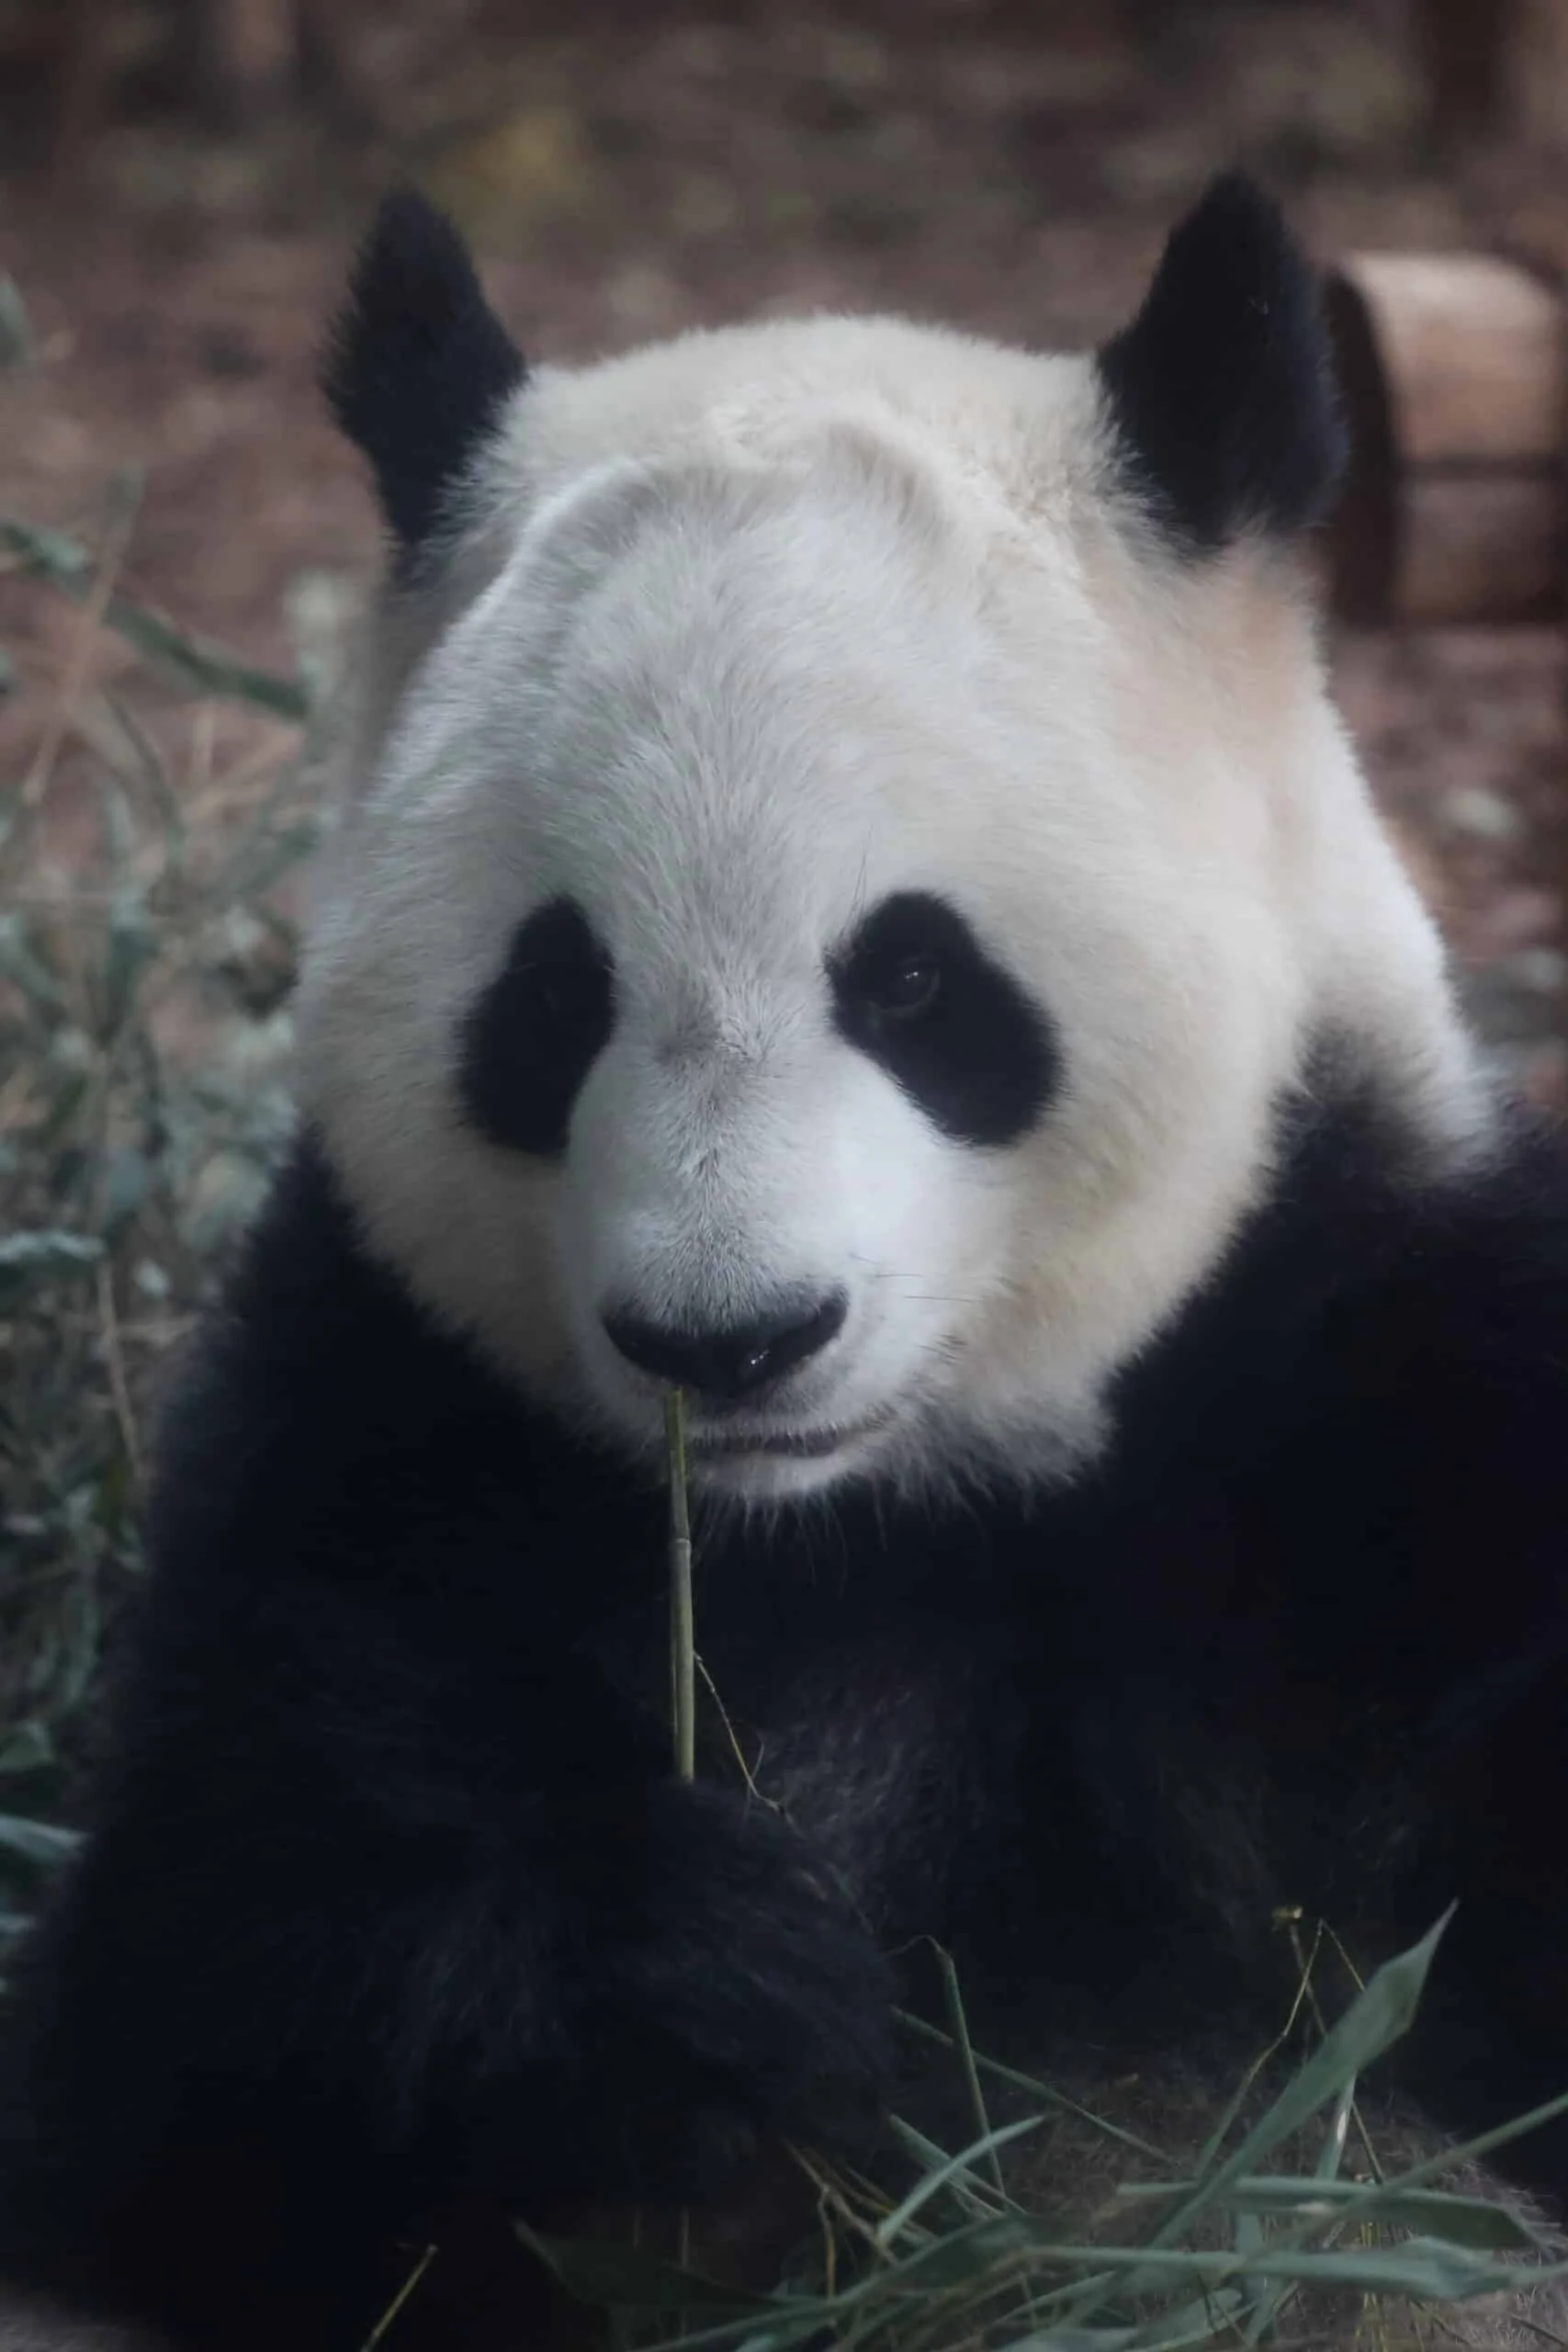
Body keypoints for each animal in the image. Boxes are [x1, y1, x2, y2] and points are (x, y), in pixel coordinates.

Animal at [3, 171, 1568, 2352]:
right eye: (552, 994)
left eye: (911, 979)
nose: (728, 1340)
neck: (874, 1513)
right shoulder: (377, 1424)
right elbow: (184, 2027)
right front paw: (706, 1987)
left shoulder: (1366, 1380)